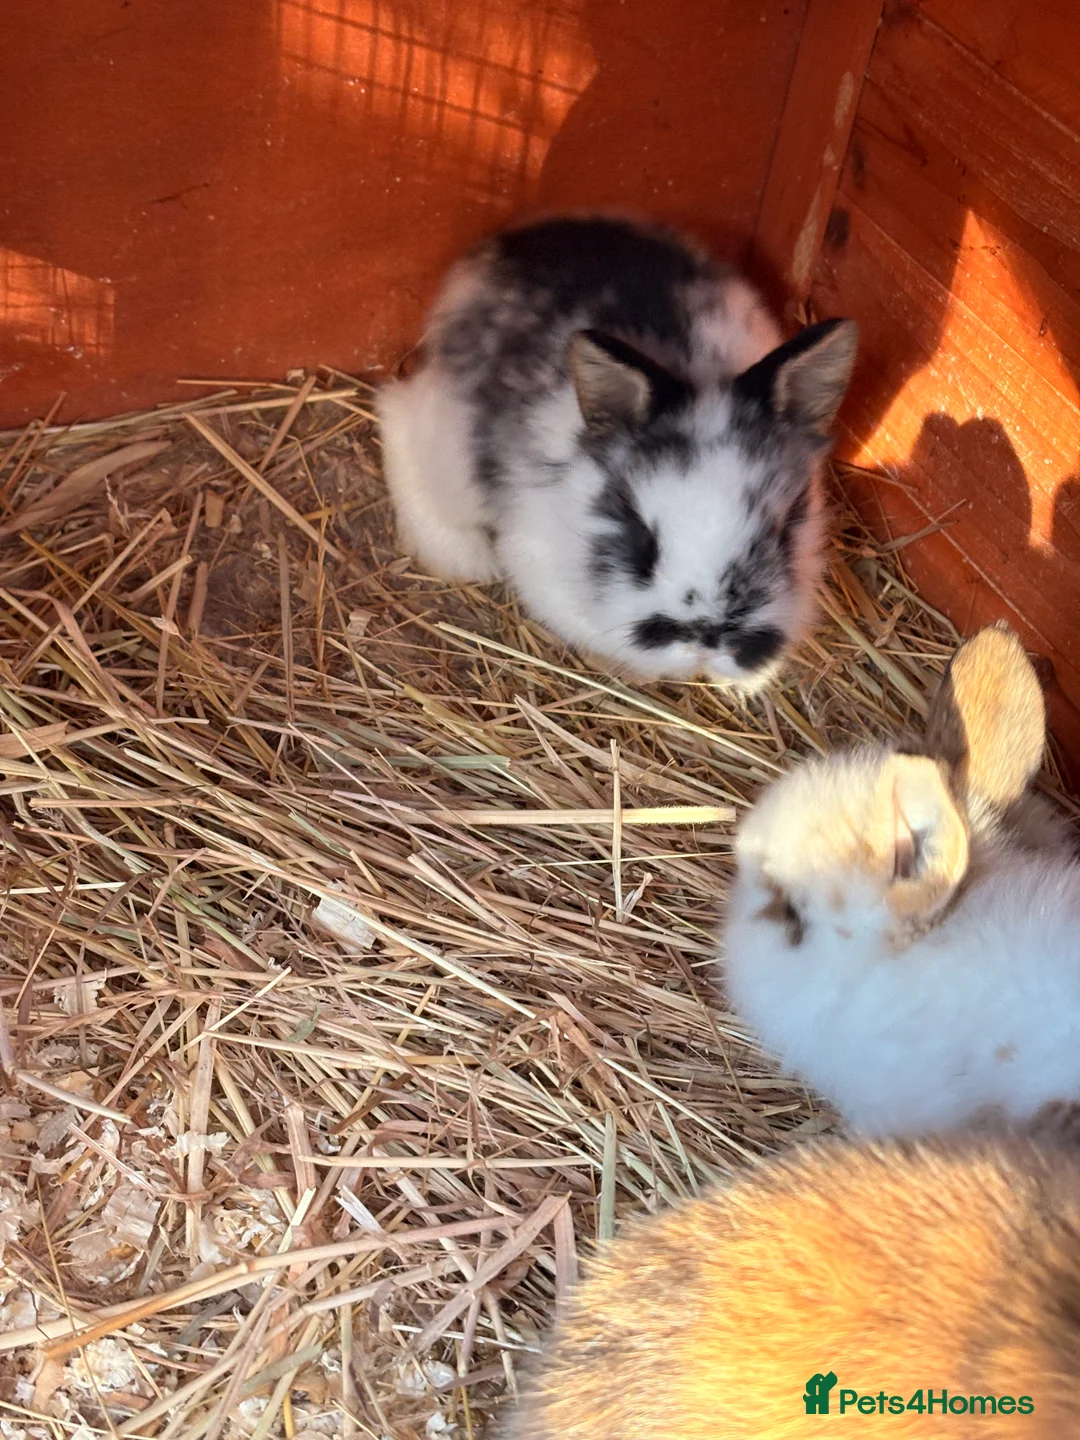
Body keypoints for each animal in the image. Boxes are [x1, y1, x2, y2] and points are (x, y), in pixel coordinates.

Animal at [377, 214, 857, 691]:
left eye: (783, 530)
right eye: (641, 537)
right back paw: (465, 557)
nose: (706, 640)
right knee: (396, 419)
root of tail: (501, 247)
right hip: (449, 452)